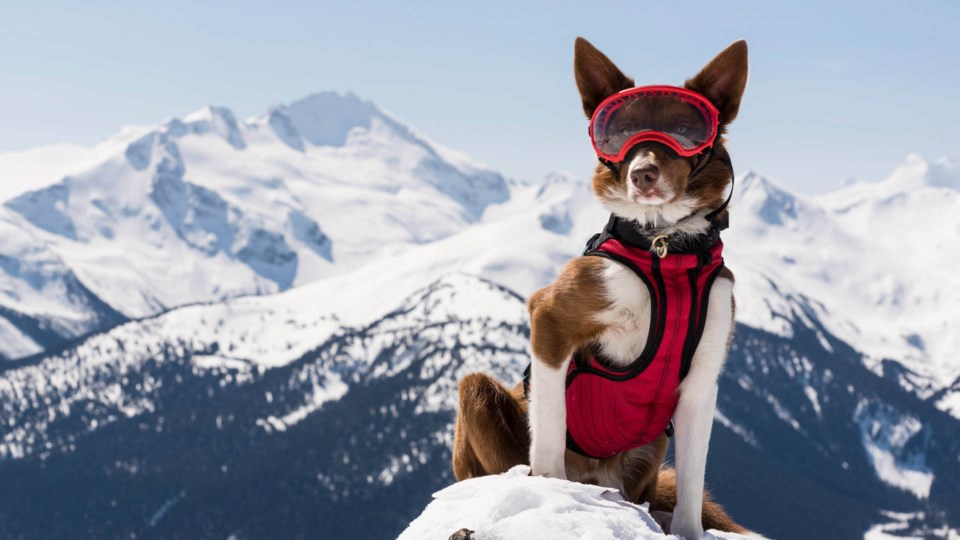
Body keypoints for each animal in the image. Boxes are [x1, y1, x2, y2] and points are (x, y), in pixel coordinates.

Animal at [452, 38, 752, 540]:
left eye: (684, 130)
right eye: (622, 132)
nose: (643, 174)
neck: (664, 249)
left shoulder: (702, 376)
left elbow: (692, 483)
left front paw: (688, 531)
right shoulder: (550, 317)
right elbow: (550, 428)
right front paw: (550, 489)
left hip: (648, 451)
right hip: (477, 393)